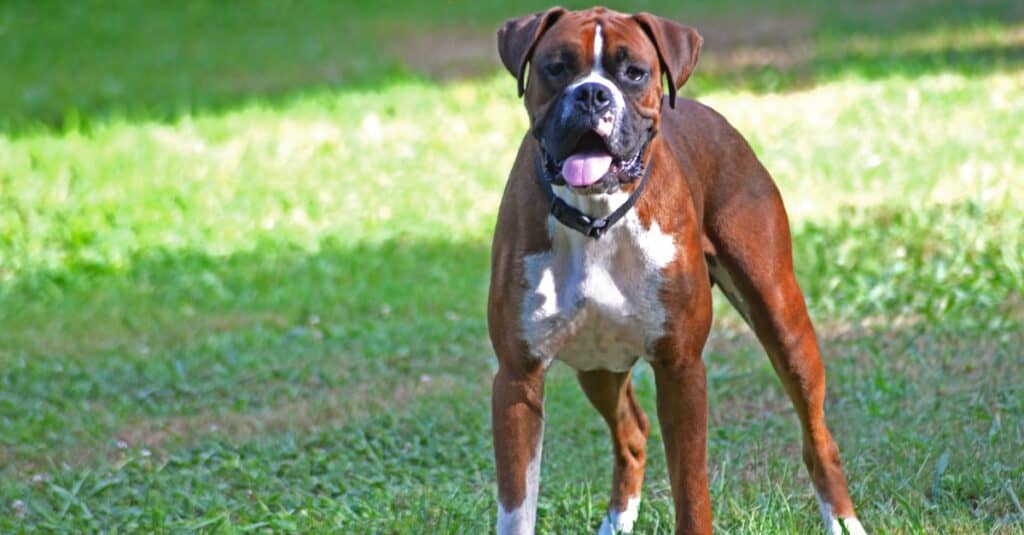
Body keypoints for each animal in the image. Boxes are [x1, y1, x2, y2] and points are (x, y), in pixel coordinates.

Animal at [485, 5, 864, 532]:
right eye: (557, 68)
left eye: (634, 72)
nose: (592, 94)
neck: (597, 218)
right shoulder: (517, 378)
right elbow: (517, 505)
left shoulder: (681, 369)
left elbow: (691, 491)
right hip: (597, 364)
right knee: (632, 432)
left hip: (783, 323)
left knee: (817, 438)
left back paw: (845, 520)